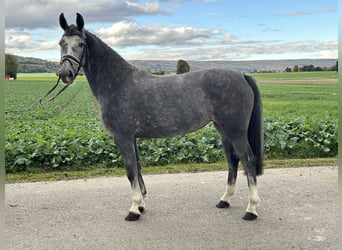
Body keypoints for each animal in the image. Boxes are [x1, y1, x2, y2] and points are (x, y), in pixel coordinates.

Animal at [58, 13, 264, 221]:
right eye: (61, 43)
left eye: (81, 44)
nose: (65, 73)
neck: (117, 82)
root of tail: (242, 76)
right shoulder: (131, 138)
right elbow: (138, 168)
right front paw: (141, 205)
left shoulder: (122, 137)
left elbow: (130, 171)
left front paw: (133, 210)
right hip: (223, 129)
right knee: (233, 161)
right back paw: (225, 200)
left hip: (236, 131)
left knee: (248, 160)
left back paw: (251, 209)